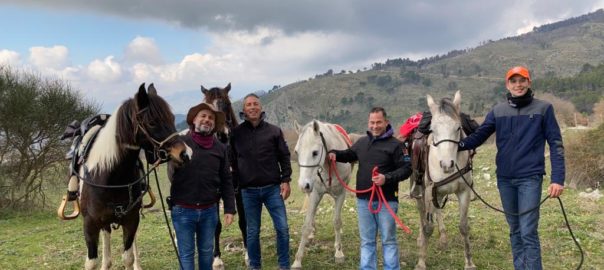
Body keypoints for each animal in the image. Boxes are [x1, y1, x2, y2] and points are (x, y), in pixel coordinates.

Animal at [79, 84, 190, 270]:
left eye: (172, 118)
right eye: (152, 122)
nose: (184, 153)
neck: (110, 178)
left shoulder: (131, 220)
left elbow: (128, 257)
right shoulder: (89, 224)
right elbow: (91, 262)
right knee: (106, 236)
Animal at [198, 83, 245, 268]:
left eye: (227, 104)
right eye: (207, 107)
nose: (222, 135)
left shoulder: (239, 191)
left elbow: (243, 221)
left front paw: (248, 254)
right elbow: (216, 226)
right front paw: (216, 260)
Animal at [290, 121, 352, 270]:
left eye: (315, 152)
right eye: (296, 152)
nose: (303, 185)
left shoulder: (341, 194)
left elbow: (337, 222)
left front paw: (339, 252)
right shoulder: (315, 194)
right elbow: (306, 226)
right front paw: (297, 261)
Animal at [416, 91, 476, 270]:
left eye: (458, 128)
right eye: (432, 129)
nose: (446, 164)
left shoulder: (464, 191)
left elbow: (463, 226)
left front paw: (469, 262)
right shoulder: (430, 189)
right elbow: (428, 227)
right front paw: (421, 262)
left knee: (437, 211)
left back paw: (443, 238)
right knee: (421, 210)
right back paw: (420, 238)